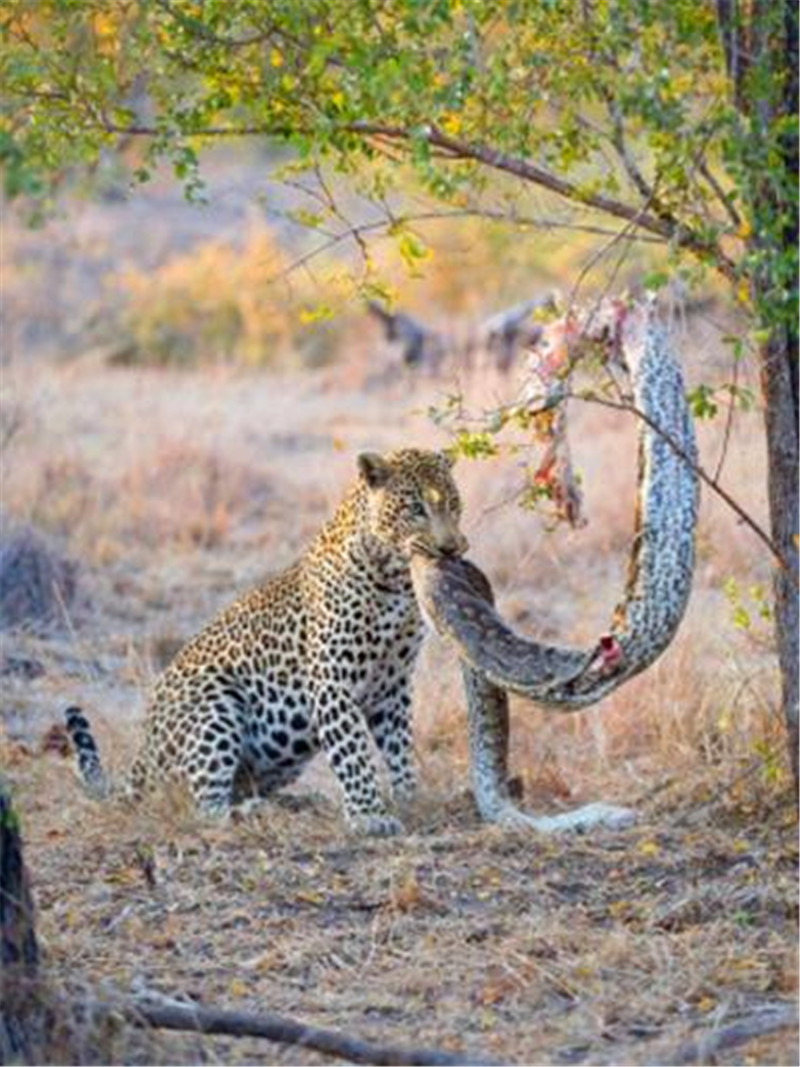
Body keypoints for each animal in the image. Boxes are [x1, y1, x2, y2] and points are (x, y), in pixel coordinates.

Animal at [68, 446, 473, 836]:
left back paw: (294, 802)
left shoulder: (393, 683)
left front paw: (409, 798)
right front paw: (369, 816)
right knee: (204, 807)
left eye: (454, 504)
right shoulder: (332, 680)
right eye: (416, 509)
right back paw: (254, 812)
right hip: (215, 701)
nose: (451, 548)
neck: (395, 580)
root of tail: (142, 753)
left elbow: (400, 746)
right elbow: (353, 751)